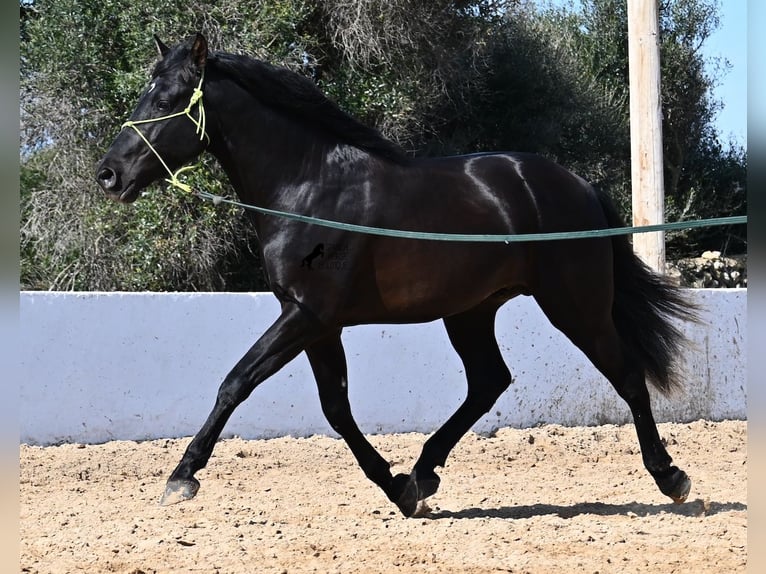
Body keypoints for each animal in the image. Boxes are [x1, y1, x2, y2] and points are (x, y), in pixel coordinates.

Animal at [97, 33, 704, 520]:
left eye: (167, 100)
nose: (109, 175)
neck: (308, 187)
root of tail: (576, 186)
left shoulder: (306, 315)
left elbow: (236, 382)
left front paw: (181, 477)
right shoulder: (318, 325)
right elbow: (336, 409)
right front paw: (398, 489)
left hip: (574, 304)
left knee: (626, 374)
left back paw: (671, 478)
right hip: (471, 311)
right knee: (488, 382)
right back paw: (423, 471)